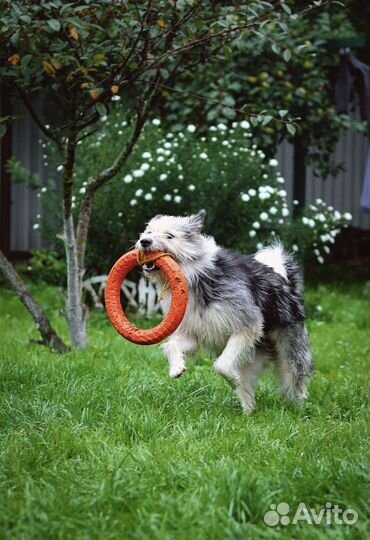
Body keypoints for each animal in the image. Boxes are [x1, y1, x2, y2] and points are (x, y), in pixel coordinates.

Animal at [136, 209, 312, 412]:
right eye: (148, 232)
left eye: (169, 236)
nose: (144, 241)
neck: (196, 277)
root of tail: (286, 283)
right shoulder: (192, 334)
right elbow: (171, 346)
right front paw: (176, 368)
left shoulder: (247, 327)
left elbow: (221, 365)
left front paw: (233, 379)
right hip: (252, 356)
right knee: (249, 388)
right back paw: (248, 412)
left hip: (289, 351)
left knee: (296, 381)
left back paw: (300, 409)